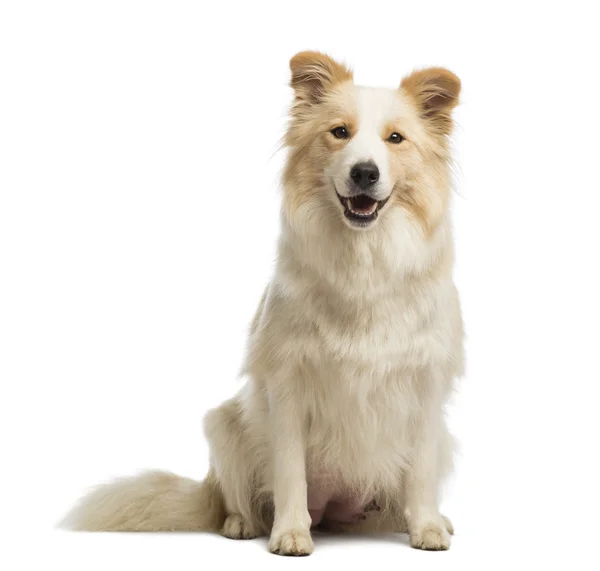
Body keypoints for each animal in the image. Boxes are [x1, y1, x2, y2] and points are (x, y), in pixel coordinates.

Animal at [62, 52, 464, 556]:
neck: (364, 258)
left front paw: (427, 526)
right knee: (237, 498)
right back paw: (241, 523)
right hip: (224, 425)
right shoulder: (287, 382)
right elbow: (290, 472)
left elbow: (421, 472)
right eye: (339, 132)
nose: (364, 172)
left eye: (396, 138)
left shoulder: (426, 383)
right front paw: (290, 533)